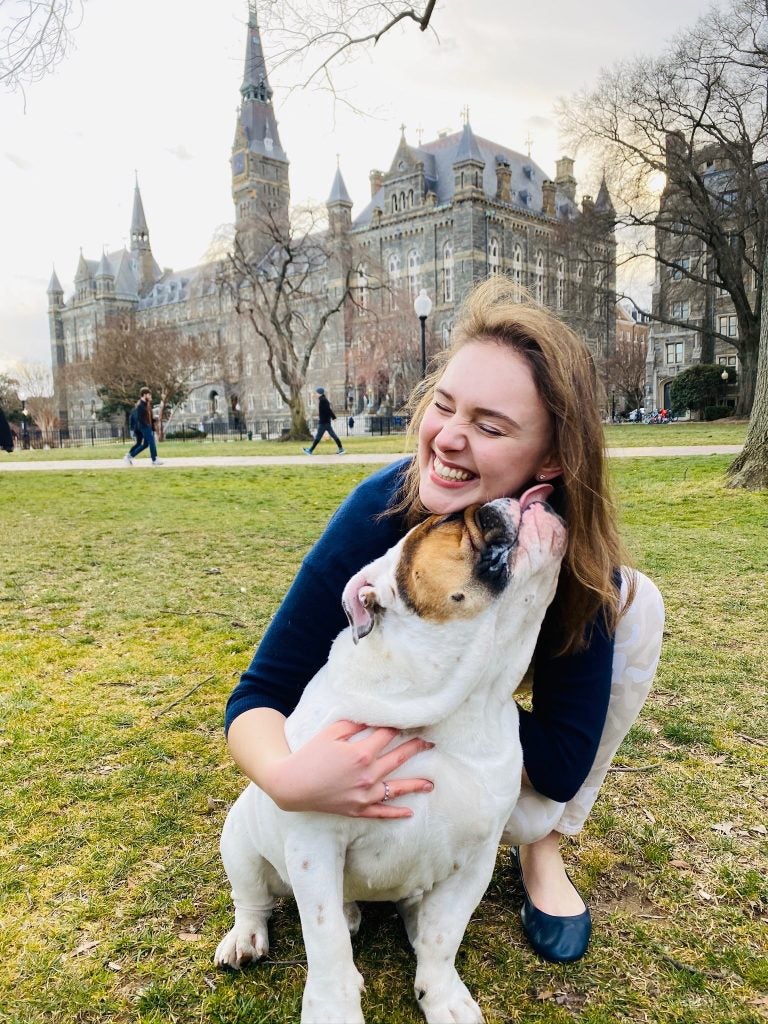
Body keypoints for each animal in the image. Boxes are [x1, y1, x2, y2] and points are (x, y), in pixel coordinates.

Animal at [215, 491, 565, 1019]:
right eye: (449, 518)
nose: (534, 494)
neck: (454, 702)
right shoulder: (315, 847)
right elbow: (326, 941)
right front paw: (333, 1010)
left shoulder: (477, 857)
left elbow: (444, 936)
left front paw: (441, 996)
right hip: (240, 839)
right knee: (253, 896)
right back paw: (246, 937)